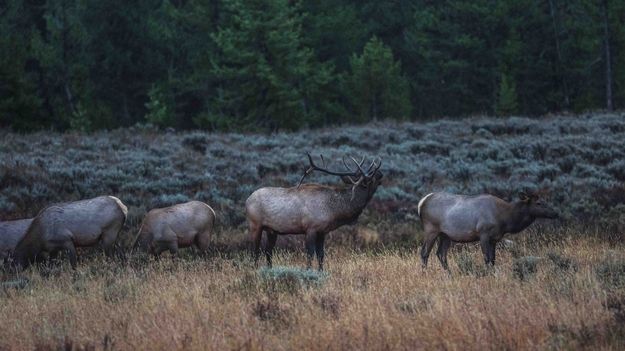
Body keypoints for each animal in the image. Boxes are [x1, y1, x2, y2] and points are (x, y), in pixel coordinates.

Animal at [243, 153, 380, 270]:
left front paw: (321, 271)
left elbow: (321, 254)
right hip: (255, 225)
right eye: (371, 178)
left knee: (268, 251)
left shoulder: (322, 232)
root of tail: (247, 200)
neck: (334, 210)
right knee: (254, 251)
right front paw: (308, 271)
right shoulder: (310, 228)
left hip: (272, 230)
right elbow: (310, 253)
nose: (381, 173)